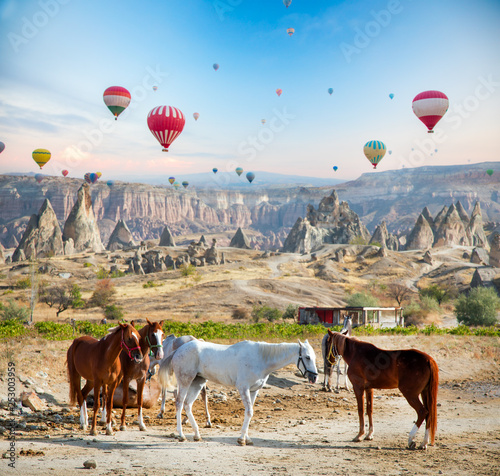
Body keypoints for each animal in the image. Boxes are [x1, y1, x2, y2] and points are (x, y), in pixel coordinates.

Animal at [161, 338, 316, 446]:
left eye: (313, 357)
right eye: (307, 357)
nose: (314, 377)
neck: (260, 358)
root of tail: (178, 350)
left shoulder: (253, 391)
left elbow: (250, 412)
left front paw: (247, 438)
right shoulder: (243, 388)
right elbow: (249, 412)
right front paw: (241, 439)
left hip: (197, 383)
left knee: (188, 404)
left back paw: (197, 435)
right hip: (185, 381)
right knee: (179, 403)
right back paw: (181, 435)